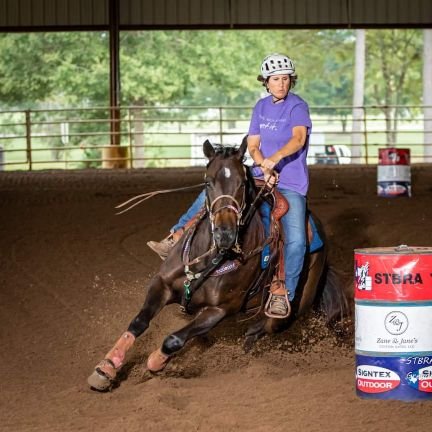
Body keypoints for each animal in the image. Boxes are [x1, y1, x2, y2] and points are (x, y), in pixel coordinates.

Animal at [87, 138, 348, 392]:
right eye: (208, 182)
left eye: (242, 184)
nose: (225, 234)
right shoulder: (162, 284)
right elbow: (139, 322)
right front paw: (106, 368)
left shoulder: (220, 309)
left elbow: (174, 339)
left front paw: (155, 362)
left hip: (293, 308)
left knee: (265, 327)